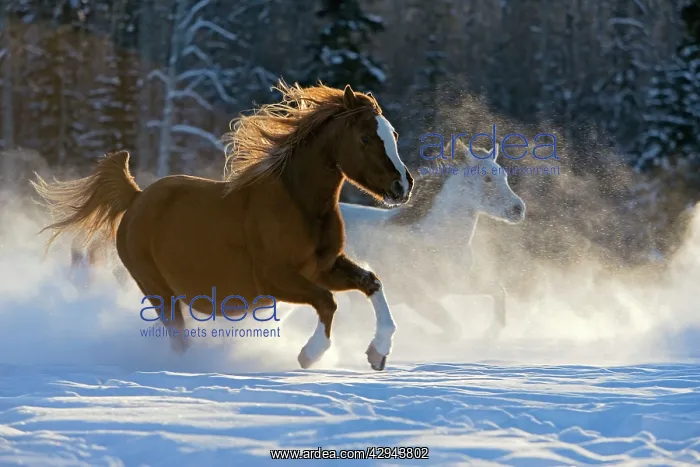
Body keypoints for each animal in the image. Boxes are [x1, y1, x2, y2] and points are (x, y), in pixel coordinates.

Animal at [31, 81, 414, 371]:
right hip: (158, 291)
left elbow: (371, 283)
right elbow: (327, 302)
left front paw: (378, 353)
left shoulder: (323, 267)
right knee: (178, 336)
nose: (403, 186)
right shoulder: (275, 279)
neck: (299, 204)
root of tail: (136, 197)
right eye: (366, 138)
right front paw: (310, 355)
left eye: (393, 133)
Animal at [338, 139, 525, 339]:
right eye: (487, 178)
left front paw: (490, 334)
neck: (435, 239)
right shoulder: (417, 297)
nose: (518, 209)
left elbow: (498, 291)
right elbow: (454, 328)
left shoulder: (456, 284)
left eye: (504, 175)